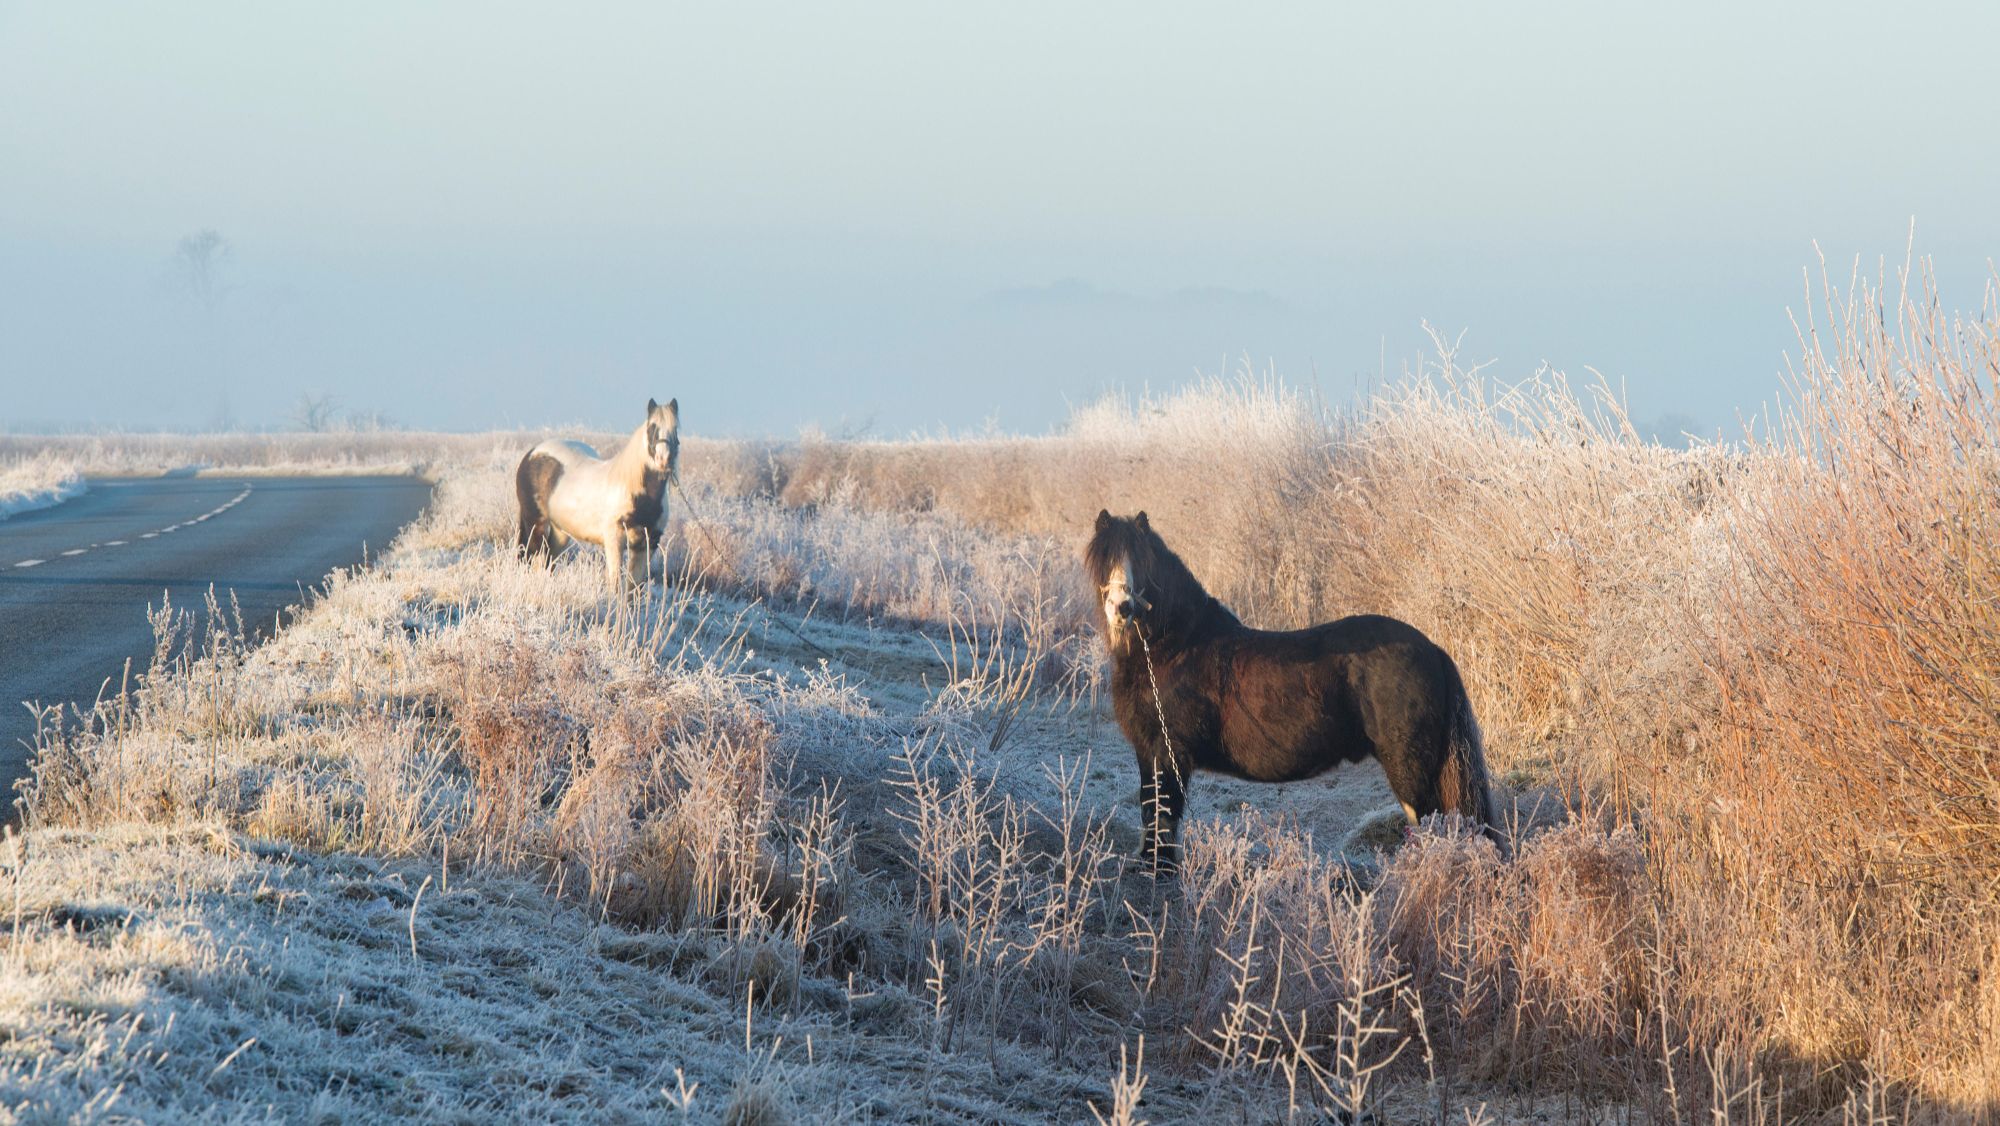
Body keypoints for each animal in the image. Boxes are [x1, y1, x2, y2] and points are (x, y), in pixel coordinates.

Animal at [516, 398, 681, 596]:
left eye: (675, 429)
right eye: (652, 428)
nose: (664, 460)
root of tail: (532, 453)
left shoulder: (647, 544)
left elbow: (633, 589)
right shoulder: (614, 541)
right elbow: (615, 584)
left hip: (560, 531)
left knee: (549, 560)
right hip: (535, 524)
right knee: (531, 557)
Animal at [1084, 509, 1496, 872]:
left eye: (1143, 561)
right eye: (1104, 560)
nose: (1122, 607)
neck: (1174, 647)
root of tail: (1433, 649)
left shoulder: (1167, 752)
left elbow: (1163, 814)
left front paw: (1160, 873)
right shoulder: (1148, 751)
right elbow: (1151, 810)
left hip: (1410, 771)